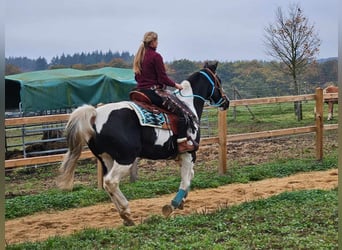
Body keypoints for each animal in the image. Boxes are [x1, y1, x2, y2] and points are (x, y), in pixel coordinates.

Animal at [56, 61, 230, 226]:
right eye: (219, 81)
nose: (226, 102)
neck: (188, 106)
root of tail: (95, 114)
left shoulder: (181, 156)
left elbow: (189, 176)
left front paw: (182, 201)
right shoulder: (189, 152)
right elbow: (186, 179)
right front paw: (172, 205)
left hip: (107, 159)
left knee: (108, 184)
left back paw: (125, 216)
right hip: (125, 158)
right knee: (110, 181)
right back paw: (126, 212)